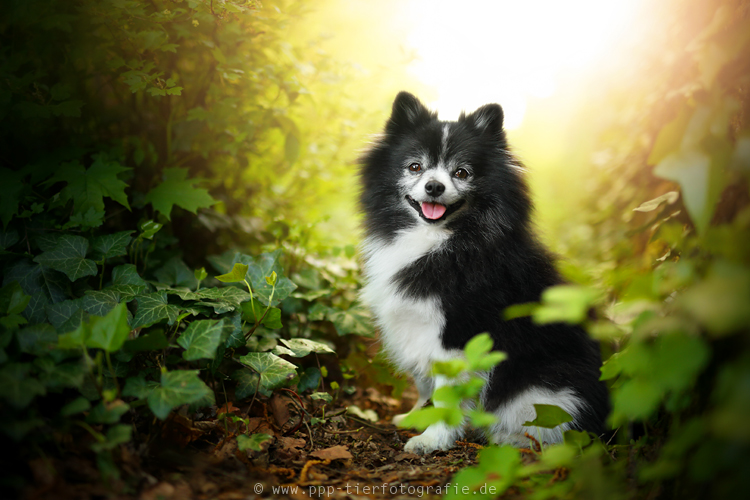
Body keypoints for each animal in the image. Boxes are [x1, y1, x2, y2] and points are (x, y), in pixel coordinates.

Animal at [358, 92, 612, 456]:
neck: (442, 241)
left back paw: (510, 439)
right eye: (415, 167)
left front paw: (432, 439)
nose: (433, 187)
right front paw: (416, 417)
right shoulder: (417, 326)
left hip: (548, 386)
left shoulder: (457, 333)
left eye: (462, 172)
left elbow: (445, 394)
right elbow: (424, 384)